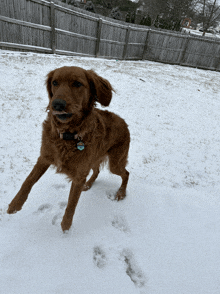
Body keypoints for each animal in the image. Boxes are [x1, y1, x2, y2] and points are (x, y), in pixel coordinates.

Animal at [7, 66, 131, 232]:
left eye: (77, 84)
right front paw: (15, 205)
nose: (57, 104)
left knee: (126, 173)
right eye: (55, 82)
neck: (67, 135)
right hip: (95, 159)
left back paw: (121, 193)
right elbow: (28, 181)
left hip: (115, 163)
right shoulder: (44, 157)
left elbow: (72, 203)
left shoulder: (79, 174)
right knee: (97, 170)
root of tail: (124, 122)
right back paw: (89, 184)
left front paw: (66, 226)